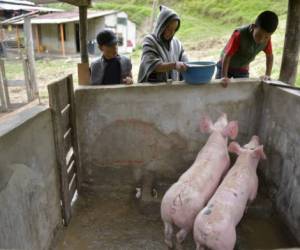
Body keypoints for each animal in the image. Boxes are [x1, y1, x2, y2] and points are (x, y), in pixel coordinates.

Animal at [161, 114, 238, 249]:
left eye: (219, 121)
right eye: (224, 122)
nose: (223, 113)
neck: (215, 142)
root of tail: (175, 202)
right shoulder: (227, 164)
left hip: (165, 211)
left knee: (167, 231)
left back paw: (169, 245)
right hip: (188, 219)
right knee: (180, 234)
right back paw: (179, 245)